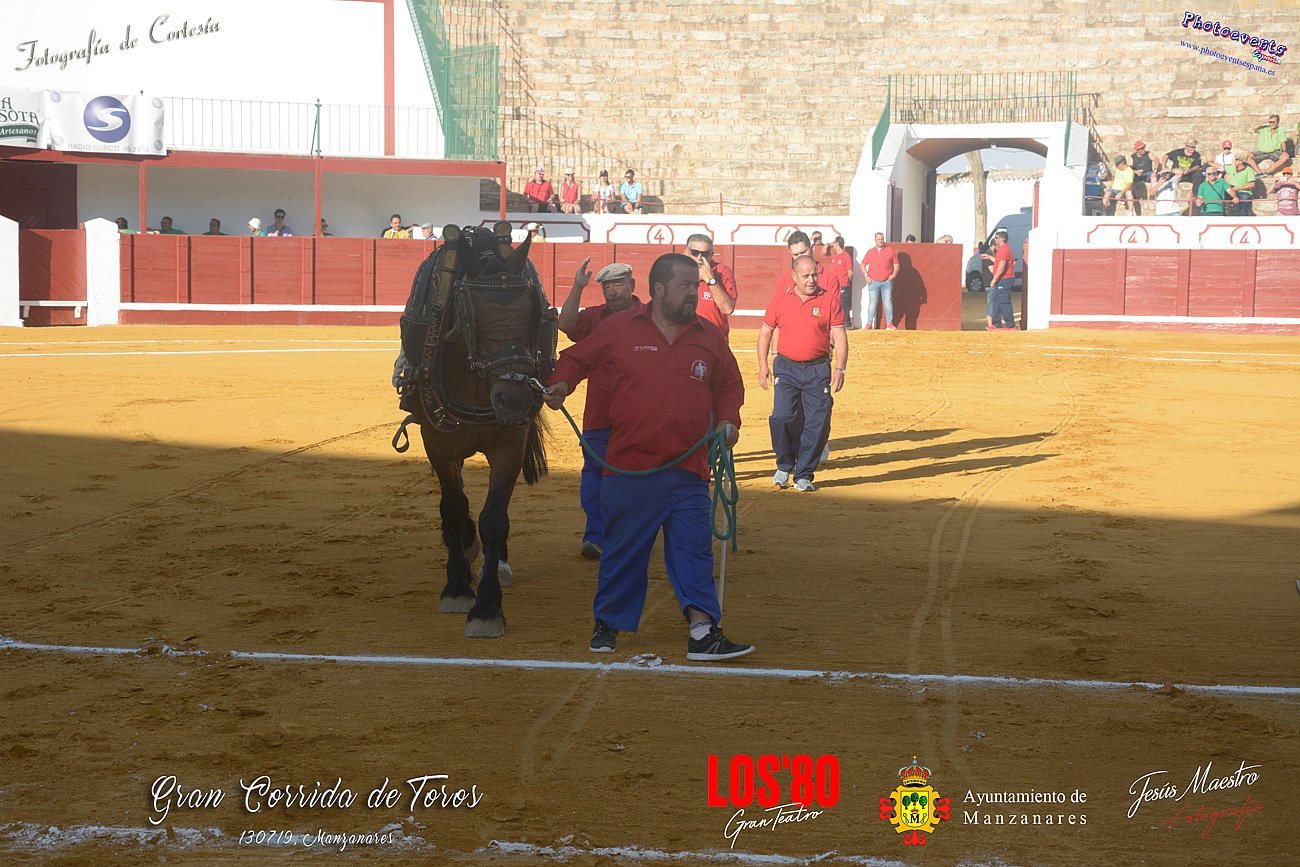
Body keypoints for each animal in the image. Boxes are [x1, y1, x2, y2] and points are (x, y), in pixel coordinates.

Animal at [392, 222, 556, 638]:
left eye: (533, 313)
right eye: (473, 317)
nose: (514, 400)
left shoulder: (510, 444)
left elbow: (494, 517)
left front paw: (487, 607)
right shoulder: (437, 443)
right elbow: (453, 507)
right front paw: (456, 587)